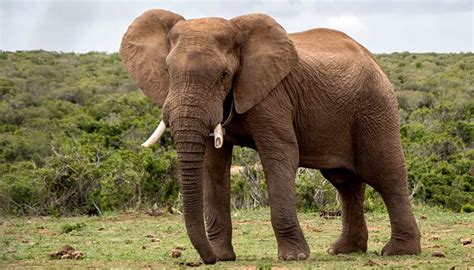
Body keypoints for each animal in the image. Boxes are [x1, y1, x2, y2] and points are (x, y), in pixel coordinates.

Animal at [119, 8, 422, 264]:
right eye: (168, 72)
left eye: (224, 75)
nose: (208, 260)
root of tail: (372, 58)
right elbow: (212, 166)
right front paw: (223, 256)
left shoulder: (273, 96)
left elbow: (280, 155)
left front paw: (294, 257)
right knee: (345, 182)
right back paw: (344, 250)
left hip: (375, 108)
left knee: (386, 174)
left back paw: (399, 252)